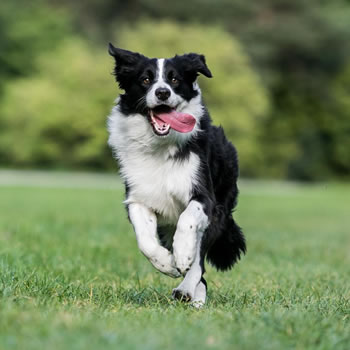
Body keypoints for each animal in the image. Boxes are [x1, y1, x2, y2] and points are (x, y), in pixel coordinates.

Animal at [106, 44, 246, 306]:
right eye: (145, 79)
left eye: (174, 79)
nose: (162, 93)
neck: (160, 147)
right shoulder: (138, 198)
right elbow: (145, 240)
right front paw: (166, 263)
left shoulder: (205, 197)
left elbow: (188, 221)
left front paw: (181, 255)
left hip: (220, 211)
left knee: (199, 261)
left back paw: (188, 290)